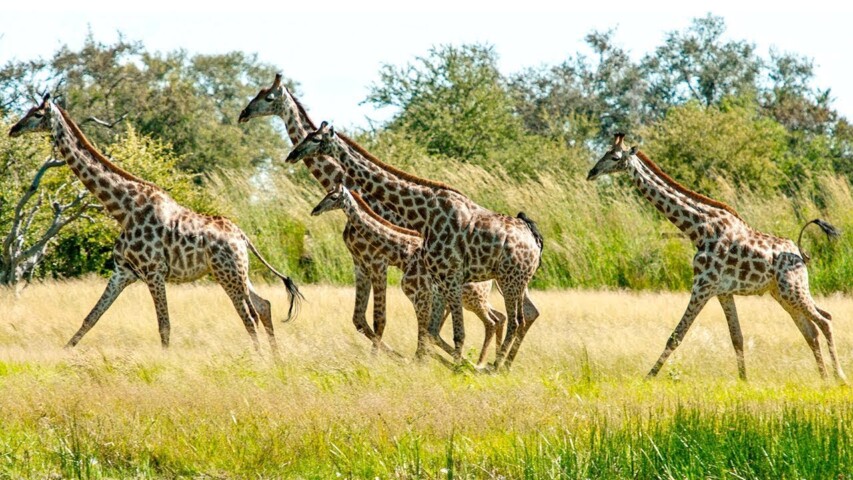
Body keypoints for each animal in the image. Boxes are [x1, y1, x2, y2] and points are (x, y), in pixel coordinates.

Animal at [8, 94, 302, 352]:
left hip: (226, 273)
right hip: (239, 272)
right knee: (263, 305)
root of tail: (242, 236)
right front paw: (64, 353)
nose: (13, 129)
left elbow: (164, 326)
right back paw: (276, 360)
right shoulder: (123, 272)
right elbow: (91, 317)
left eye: (37, 114)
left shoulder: (154, 271)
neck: (123, 210)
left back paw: (260, 359)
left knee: (249, 315)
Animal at [312, 183, 507, 365]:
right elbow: (426, 334)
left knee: (492, 321)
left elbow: (414, 332)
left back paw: (480, 364)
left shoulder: (418, 295)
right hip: (470, 300)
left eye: (333, 197)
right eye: (326, 194)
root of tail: (490, 278)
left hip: (472, 299)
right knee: (496, 318)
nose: (315, 210)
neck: (403, 252)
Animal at [587, 133, 846, 382]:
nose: (591, 172)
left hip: (793, 289)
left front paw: (648, 377)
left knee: (825, 321)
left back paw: (839, 377)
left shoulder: (703, 285)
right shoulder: (722, 291)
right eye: (604, 153)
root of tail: (800, 254)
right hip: (781, 293)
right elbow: (737, 336)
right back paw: (823, 378)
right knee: (811, 330)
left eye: (614, 157)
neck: (700, 228)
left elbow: (676, 336)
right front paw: (743, 381)